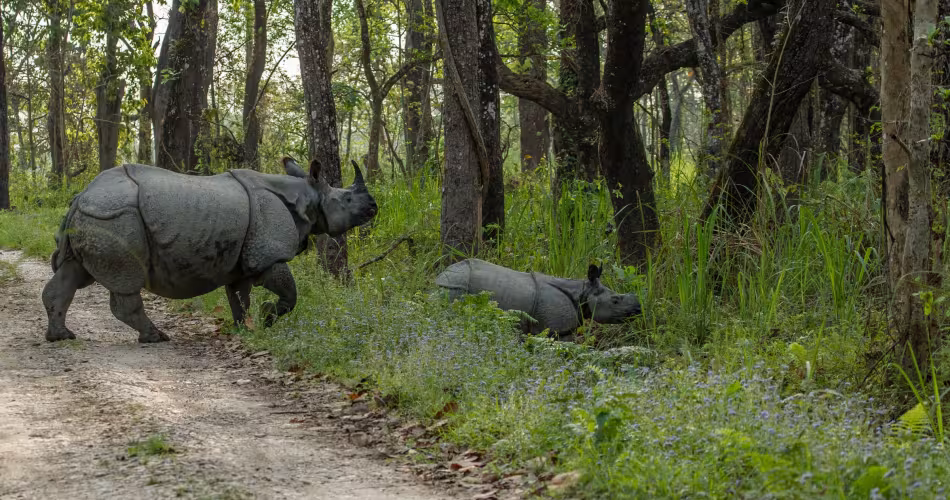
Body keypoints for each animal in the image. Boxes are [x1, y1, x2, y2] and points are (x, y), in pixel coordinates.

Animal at [42, 157, 377, 343]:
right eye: (347, 199)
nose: (374, 207)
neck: (307, 196)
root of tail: (80, 197)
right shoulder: (268, 254)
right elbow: (289, 295)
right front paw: (268, 317)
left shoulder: (242, 261)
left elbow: (239, 298)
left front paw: (246, 329)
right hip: (116, 217)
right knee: (125, 282)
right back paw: (156, 337)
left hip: (95, 217)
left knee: (71, 274)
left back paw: (61, 336)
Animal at [435, 258, 642, 339]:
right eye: (615, 300)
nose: (639, 309)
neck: (583, 291)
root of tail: (442, 275)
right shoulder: (556, 329)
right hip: (455, 288)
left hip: (452, 285)